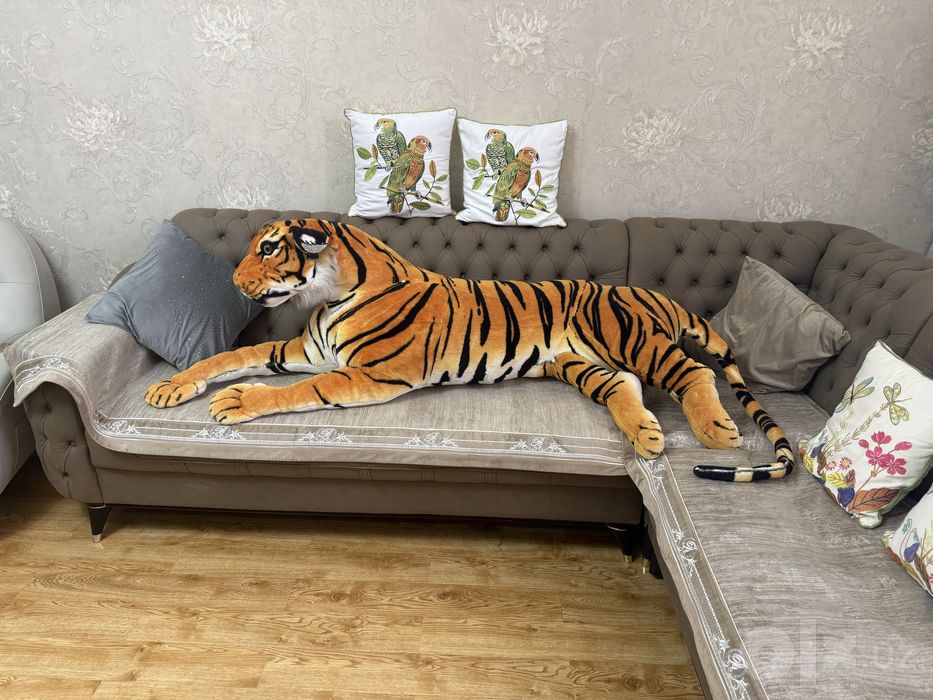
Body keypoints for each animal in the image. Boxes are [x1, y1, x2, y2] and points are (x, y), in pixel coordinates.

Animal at [145, 218, 795, 482]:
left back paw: (714, 430)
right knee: (627, 388)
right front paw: (172, 386)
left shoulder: (368, 374)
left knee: (691, 373)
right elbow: (227, 358)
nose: (233, 282)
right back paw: (645, 434)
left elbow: (301, 390)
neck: (327, 295)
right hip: (583, 363)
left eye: (270, 248)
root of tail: (651, 291)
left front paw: (234, 403)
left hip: (627, 337)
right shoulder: (307, 351)